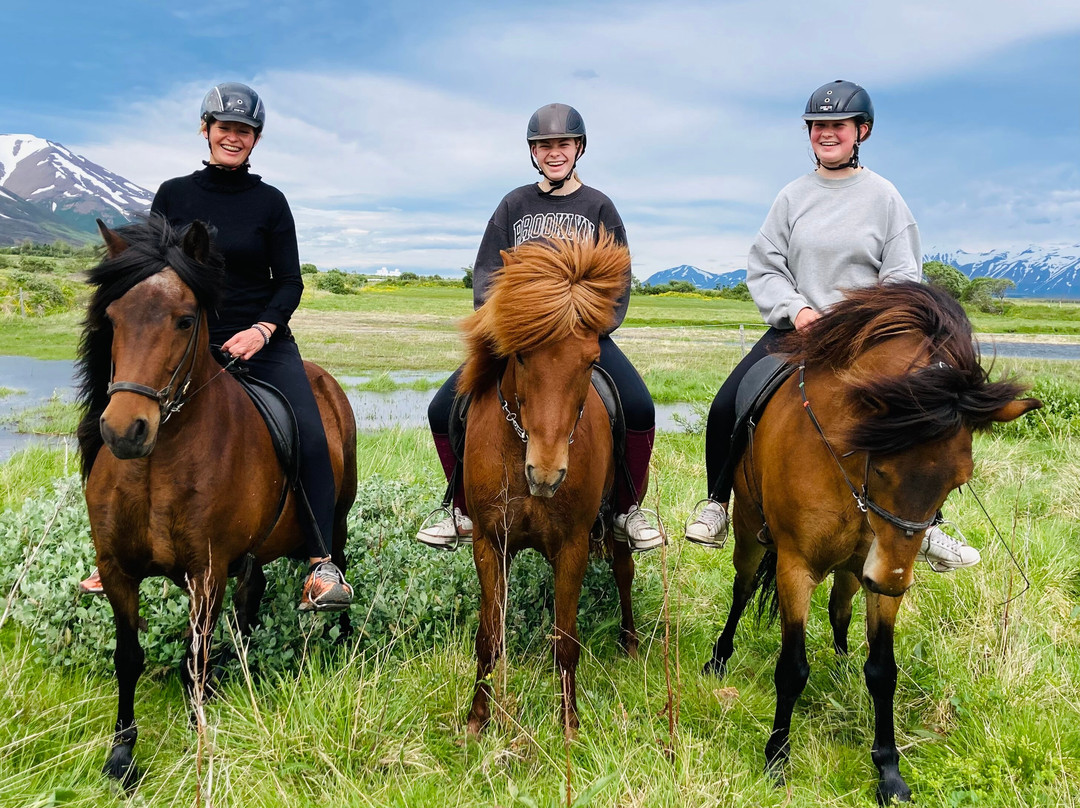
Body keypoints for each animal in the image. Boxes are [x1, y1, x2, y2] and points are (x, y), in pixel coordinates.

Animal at [457, 232, 638, 738]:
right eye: (520, 354)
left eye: (591, 360)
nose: (545, 473)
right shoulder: (490, 544)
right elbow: (489, 636)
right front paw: (477, 719)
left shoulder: (573, 546)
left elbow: (565, 640)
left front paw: (569, 722)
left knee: (624, 572)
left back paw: (631, 641)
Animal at [702, 281, 1040, 804]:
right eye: (880, 466)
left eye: (958, 482)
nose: (891, 580)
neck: (846, 471)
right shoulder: (796, 566)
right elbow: (791, 668)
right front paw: (777, 759)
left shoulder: (883, 568)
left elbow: (883, 671)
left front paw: (889, 771)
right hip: (749, 534)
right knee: (741, 590)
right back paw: (720, 658)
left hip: (852, 568)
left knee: (840, 608)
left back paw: (841, 666)